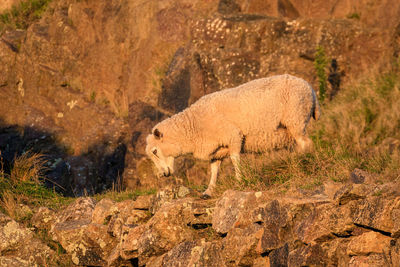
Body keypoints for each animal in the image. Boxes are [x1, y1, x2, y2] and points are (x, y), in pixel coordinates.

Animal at [145, 74, 320, 198]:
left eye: (155, 151)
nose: (163, 174)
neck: (194, 125)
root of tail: (310, 88)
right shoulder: (216, 149)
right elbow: (214, 170)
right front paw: (208, 191)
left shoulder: (233, 136)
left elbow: (235, 160)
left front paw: (239, 181)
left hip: (296, 118)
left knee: (306, 144)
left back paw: (302, 162)